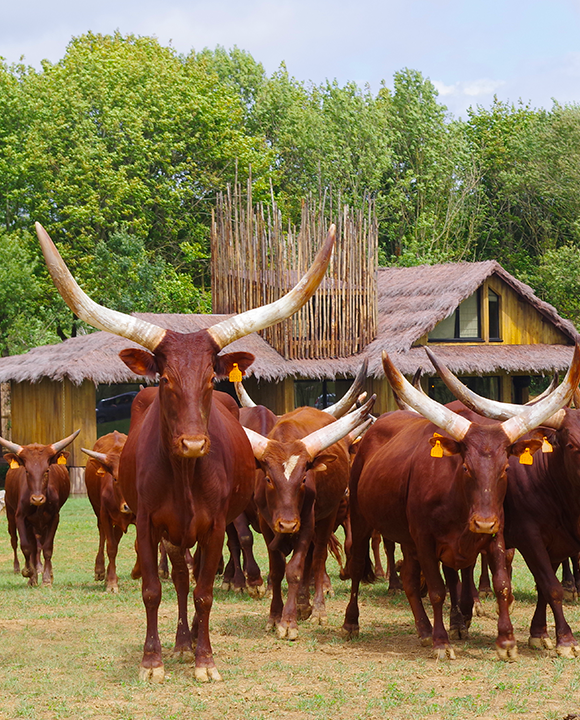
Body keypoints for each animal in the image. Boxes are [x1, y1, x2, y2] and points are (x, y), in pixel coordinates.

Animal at [0, 428, 78, 584]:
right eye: (26, 471)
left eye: (47, 470)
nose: (37, 499)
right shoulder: (20, 517)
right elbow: (26, 546)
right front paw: (29, 572)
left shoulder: (54, 518)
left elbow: (47, 547)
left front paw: (47, 578)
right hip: (11, 514)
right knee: (15, 541)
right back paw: (20, 568)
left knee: (38, 544)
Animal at [81, 430, 134, 592]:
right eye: (115, 479)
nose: (129, 506)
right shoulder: (105, 516)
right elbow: (111, 547)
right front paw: (111, 583)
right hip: (98, 511)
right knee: (102, 534)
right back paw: (100, 570)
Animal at [244, 396, 372, 640]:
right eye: (268, 479)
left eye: (304, 478)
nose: (287, 524)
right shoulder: (266, 525)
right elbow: (277, 571)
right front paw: (274, 617)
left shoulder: (306, 522)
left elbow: (295, 569)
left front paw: (288, 622)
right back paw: (304, 604)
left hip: (326, 516)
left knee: (318, 556)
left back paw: (316, 610)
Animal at [340, 348, 580, 660]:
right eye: (465, 467)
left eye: (506, 468)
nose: (483, 522)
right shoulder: (523, 536)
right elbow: (438, 589)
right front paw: (442, 642)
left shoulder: (503, 536)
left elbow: (509, 585)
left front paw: (513, 640)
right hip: (361, 518)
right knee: (359, 564)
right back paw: (352, 623)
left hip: (409, 537)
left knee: (412, 577)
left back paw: (429, 628)